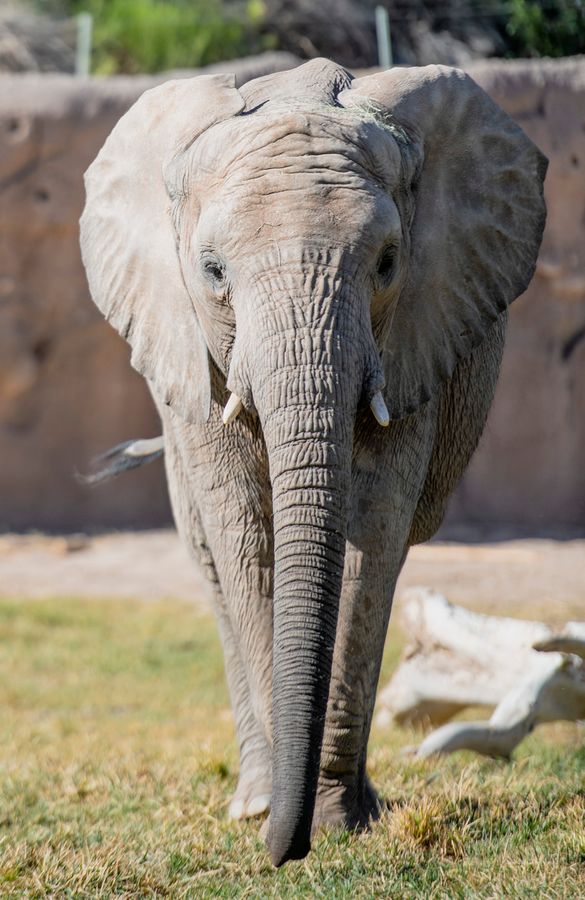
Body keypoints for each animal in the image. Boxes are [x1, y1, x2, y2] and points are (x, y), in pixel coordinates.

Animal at [80, 59, 544, 868]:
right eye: (212, 272)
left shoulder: (414, 333)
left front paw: (336, 822)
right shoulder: (196, 360)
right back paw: (252, 800)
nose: (282, 852)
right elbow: (248, 539)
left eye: (387, 263)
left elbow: (371, 535)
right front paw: (283, 817)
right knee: (210, 563)